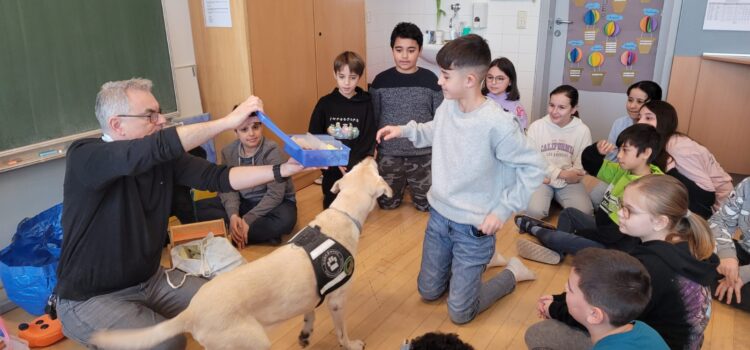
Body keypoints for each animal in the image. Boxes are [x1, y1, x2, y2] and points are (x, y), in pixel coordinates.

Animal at [92, 157, 394, 348]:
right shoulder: (337, 301)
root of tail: (191, 313)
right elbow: (342, 332)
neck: (341, 213)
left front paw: (306, 334)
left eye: (356, 166)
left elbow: (309, 313)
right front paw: (351, 344)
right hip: (253, 341)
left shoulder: (313, 294)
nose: (369, 154)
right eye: (373, 168)